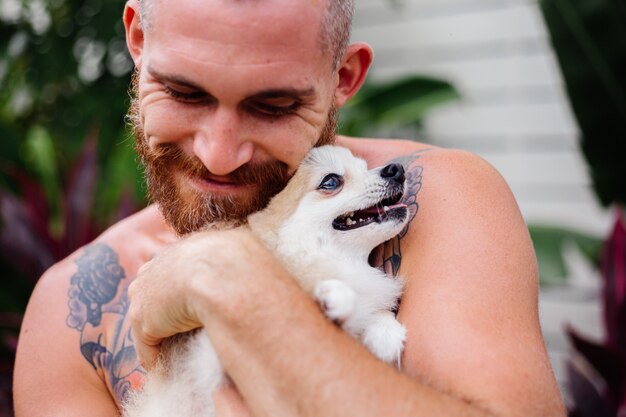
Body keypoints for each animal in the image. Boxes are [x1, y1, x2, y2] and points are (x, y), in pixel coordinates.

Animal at [123, 145, 408, 416]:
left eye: (364, 167)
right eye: (331, 181)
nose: (395, 169)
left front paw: (384, 332)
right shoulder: (210, 359)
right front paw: (333, 298)